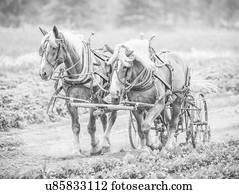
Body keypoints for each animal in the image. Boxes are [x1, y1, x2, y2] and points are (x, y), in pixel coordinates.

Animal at [38, 25, 117, 156]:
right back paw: (107, 142)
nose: (42, 73)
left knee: (113, 115)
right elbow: (75, 126)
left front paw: (95, 147)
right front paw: (76, 150)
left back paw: (105, 144)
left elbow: (91, 126)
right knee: (104, 117)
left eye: (53, 47)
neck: (78, 72)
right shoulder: (70, 101)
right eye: (41, 49)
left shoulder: (92, 100)